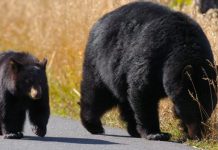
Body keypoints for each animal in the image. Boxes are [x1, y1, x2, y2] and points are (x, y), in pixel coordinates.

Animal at [79, 1, 216, 141]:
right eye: (193, 109)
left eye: (208, 110)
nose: (197, 135)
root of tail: (99, 22)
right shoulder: (152, 57)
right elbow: (144, 92)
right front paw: (156, 133)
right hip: (100, 62)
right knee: (97, 93)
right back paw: (93, 124)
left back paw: (133, 130)